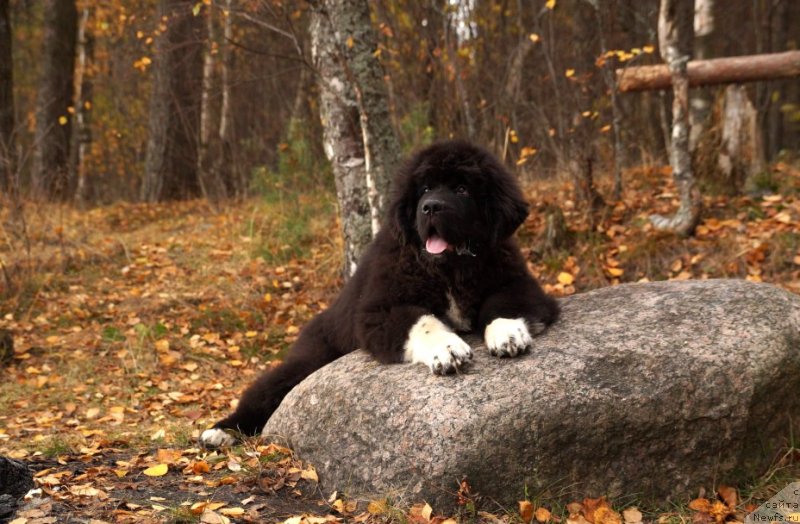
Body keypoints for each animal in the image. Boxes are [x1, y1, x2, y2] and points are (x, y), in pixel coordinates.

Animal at [203, 138, 560, 446]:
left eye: (462, 189)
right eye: (425, 189)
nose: (431, 207)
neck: (449, 268)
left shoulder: (518, 281)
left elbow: (505, 303)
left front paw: (507, 334)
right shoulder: (381, 310)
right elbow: (422, 321)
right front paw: (447, 348)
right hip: (310, 359)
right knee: (268, 389)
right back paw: (221, 431)